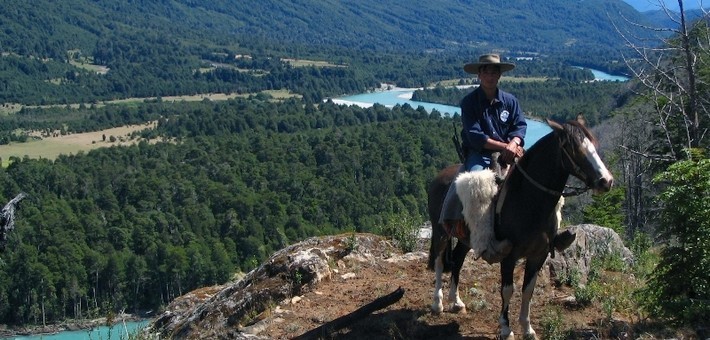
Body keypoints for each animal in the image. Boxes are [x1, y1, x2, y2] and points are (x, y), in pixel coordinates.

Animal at [426, 118, 616, 338]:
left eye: (593, 144)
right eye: (574, 148)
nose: (606, 181)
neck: (528, 200)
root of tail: (439, 177)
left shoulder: (538, 255)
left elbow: (528, 290)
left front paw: (527, 328)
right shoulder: (509, 256)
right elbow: (508, 290)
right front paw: (506, 328)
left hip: (469, 237)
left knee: (457, 260)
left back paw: (456, 302)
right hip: (441, 233)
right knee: (440, 262)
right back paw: (437, 303)